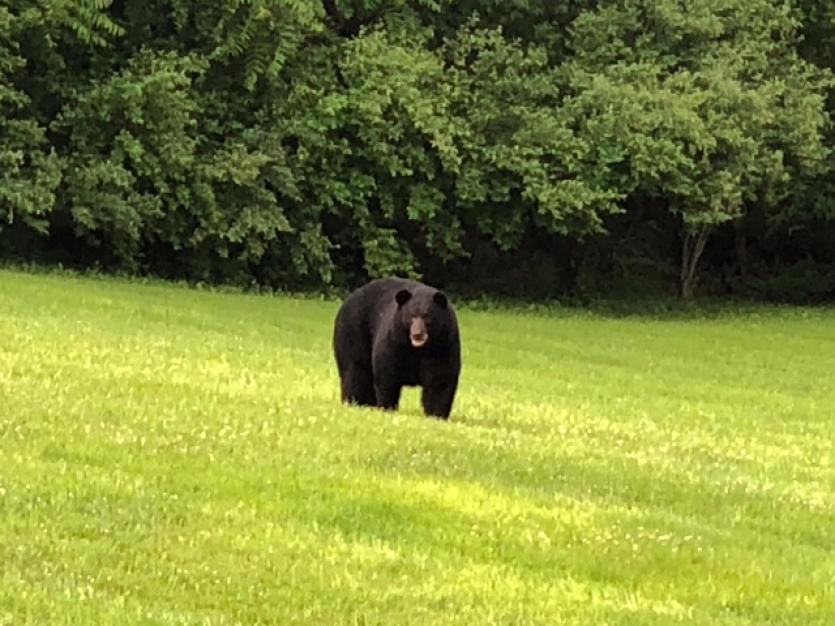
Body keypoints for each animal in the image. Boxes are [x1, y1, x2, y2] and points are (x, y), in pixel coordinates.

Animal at [333, 277, 461, 419]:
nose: (417, 334)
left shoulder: (443, 344)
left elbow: (440, 379)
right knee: (355, 369)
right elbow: (387, 373)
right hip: (354, 331)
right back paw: (356, 402)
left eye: (426, 316)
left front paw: (436, 415)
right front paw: (387, 407)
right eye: (411, 316)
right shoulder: (395, 341)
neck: (418, 349)